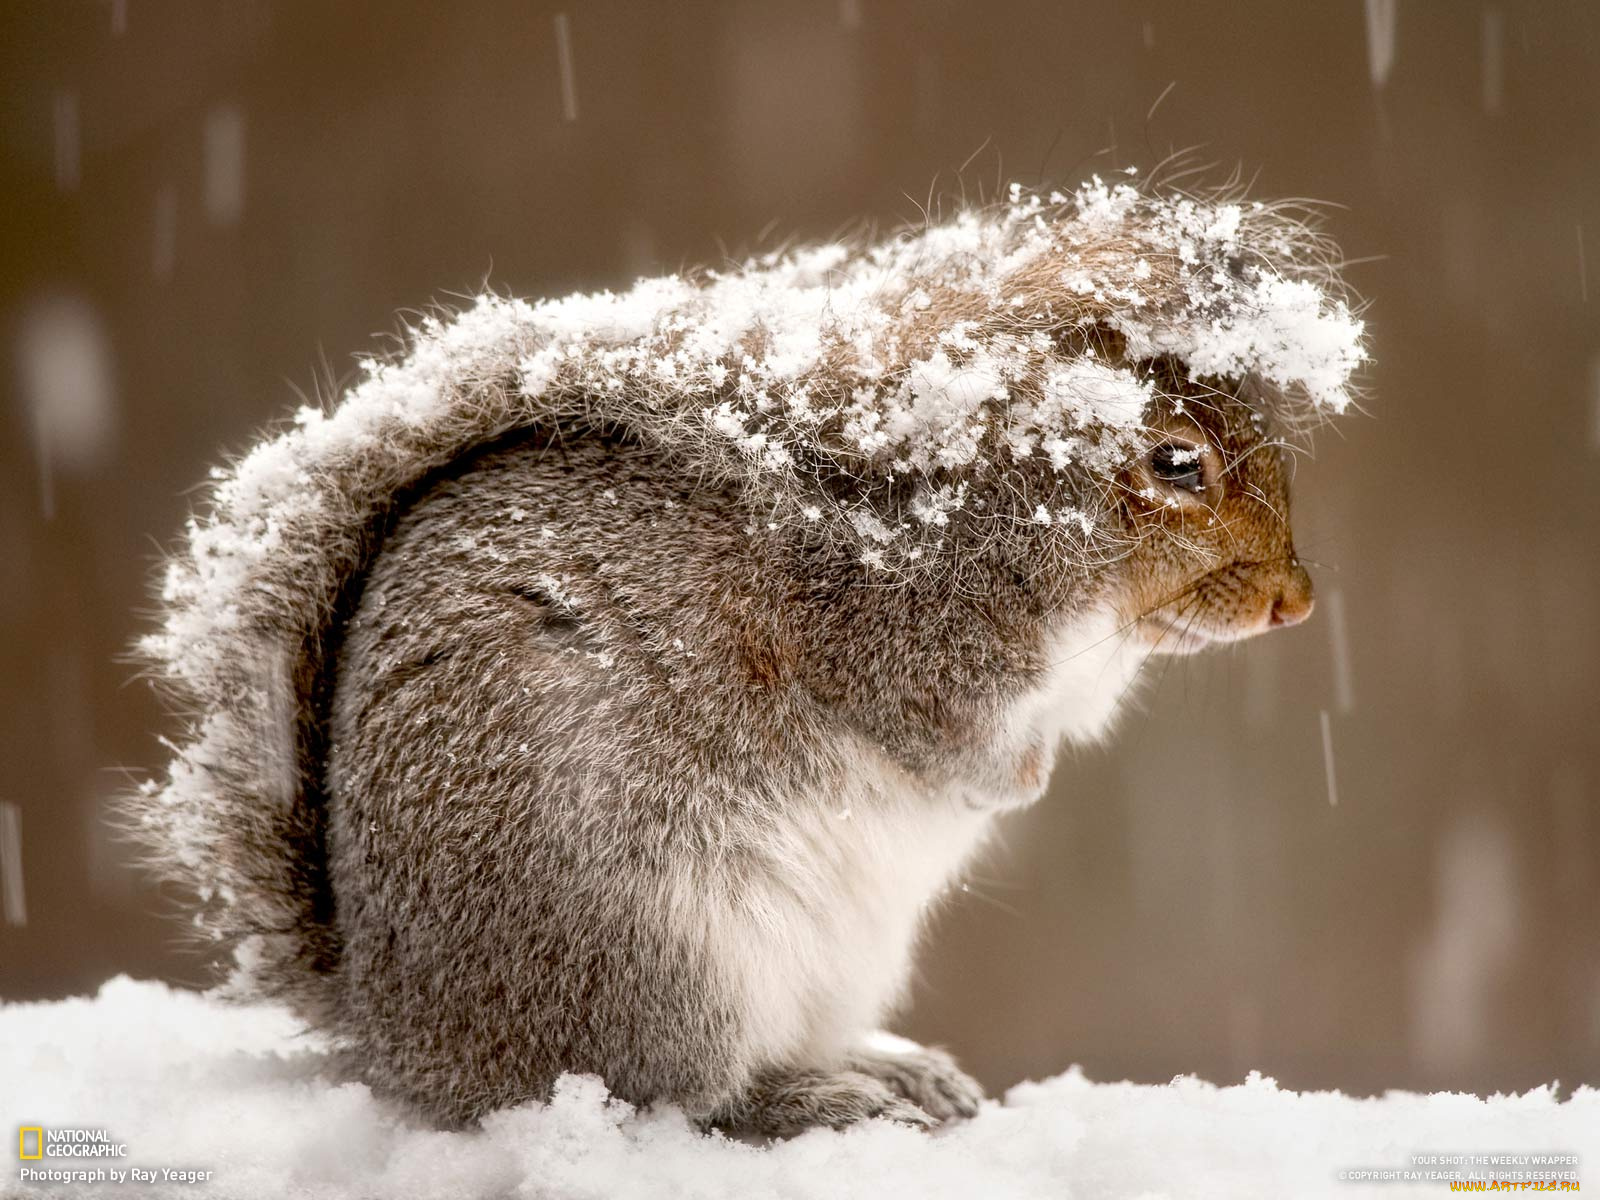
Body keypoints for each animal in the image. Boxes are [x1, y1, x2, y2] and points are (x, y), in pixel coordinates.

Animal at [128, 176, 1365, 1134]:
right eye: (1175, 462)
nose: (1296, 602)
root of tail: (405, 1038)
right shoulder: (890, 641)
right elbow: (935, 735)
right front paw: (1008, 783)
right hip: (656, 951)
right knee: (678, 1095)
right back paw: (811, 1100)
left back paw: (883, 1067)